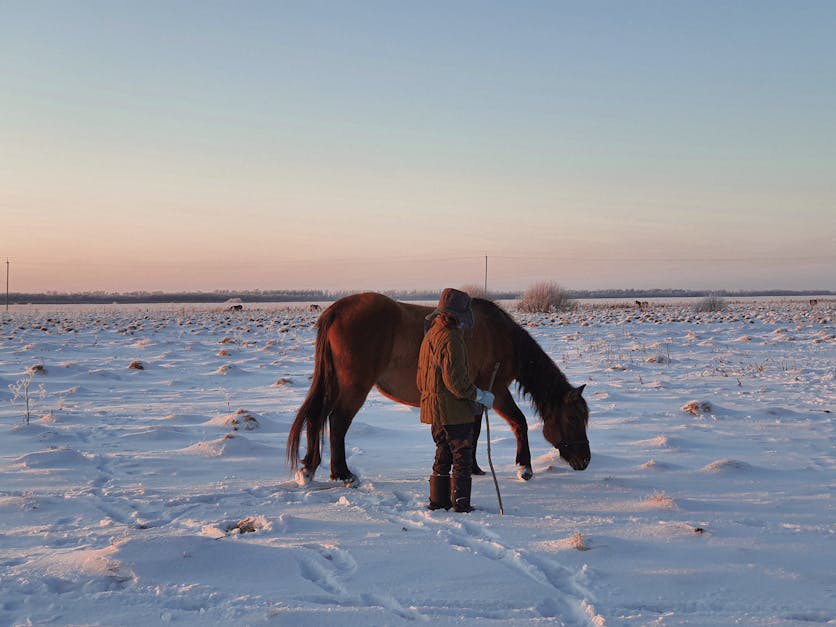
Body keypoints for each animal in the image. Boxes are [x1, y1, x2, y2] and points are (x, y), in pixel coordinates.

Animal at [288, 290, 588, 486]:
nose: (585, 461)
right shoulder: (497, 391)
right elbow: (519, 422)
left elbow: (473, 432)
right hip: (353, 386)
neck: (502, 337)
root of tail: (337, 309)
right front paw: (524, 468)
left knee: (316, 418)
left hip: (336, 383)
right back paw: (343, 473)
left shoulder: (473, 396)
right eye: (574, 418)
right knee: (337, 421)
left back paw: (309, 470)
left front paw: (474, 468)